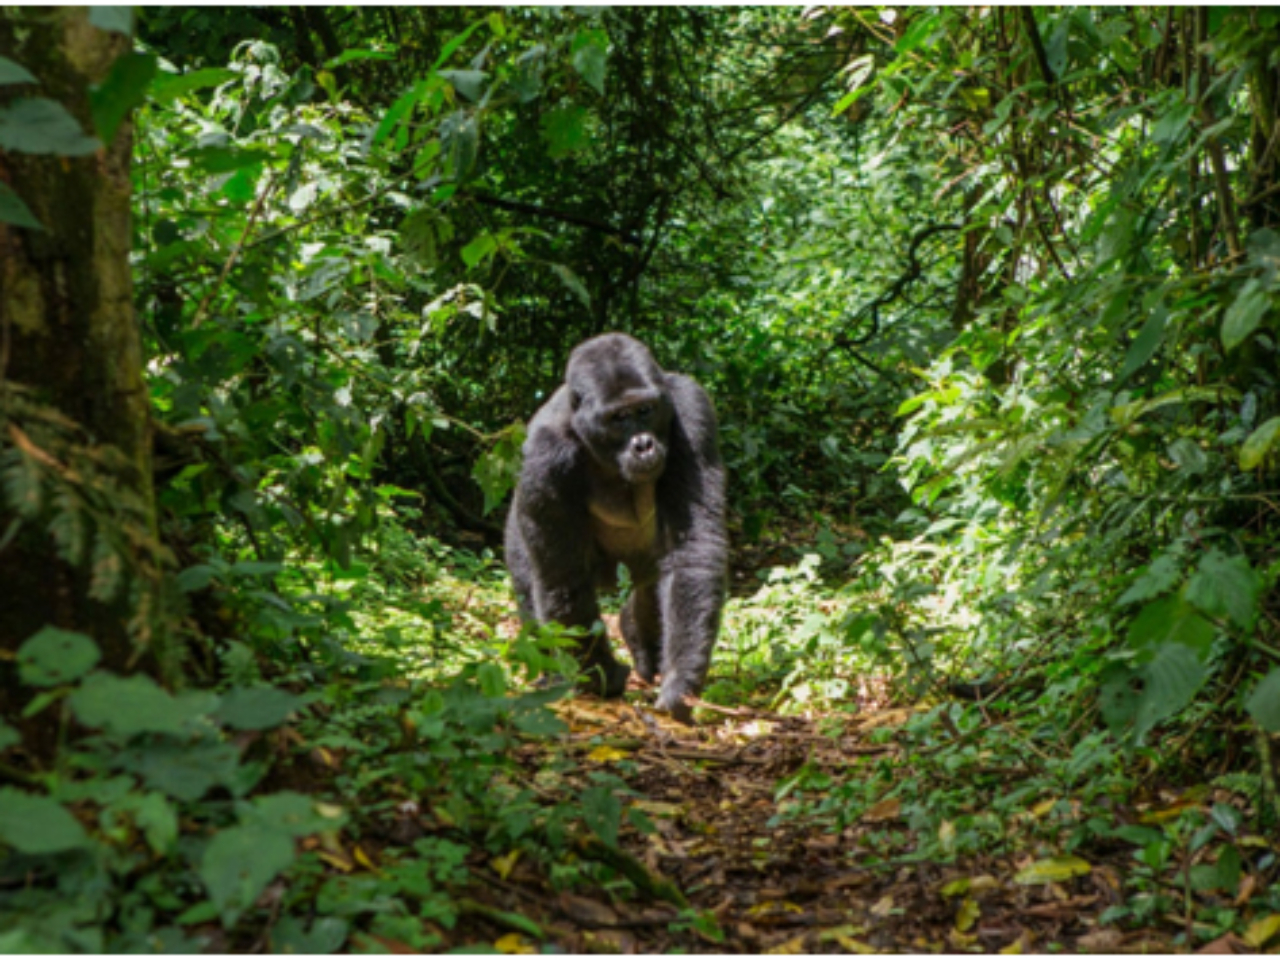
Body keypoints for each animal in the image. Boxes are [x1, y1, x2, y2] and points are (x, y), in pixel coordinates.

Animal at [509, 335, 732, 727]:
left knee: (652, 586)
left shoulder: (692, 409)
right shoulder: (543, 456)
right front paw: (602, 678)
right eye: (618, 418)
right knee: (531, 582)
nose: (643, 444)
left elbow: (693, 549)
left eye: (644, 410)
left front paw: (680, 680)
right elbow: (563, 578)